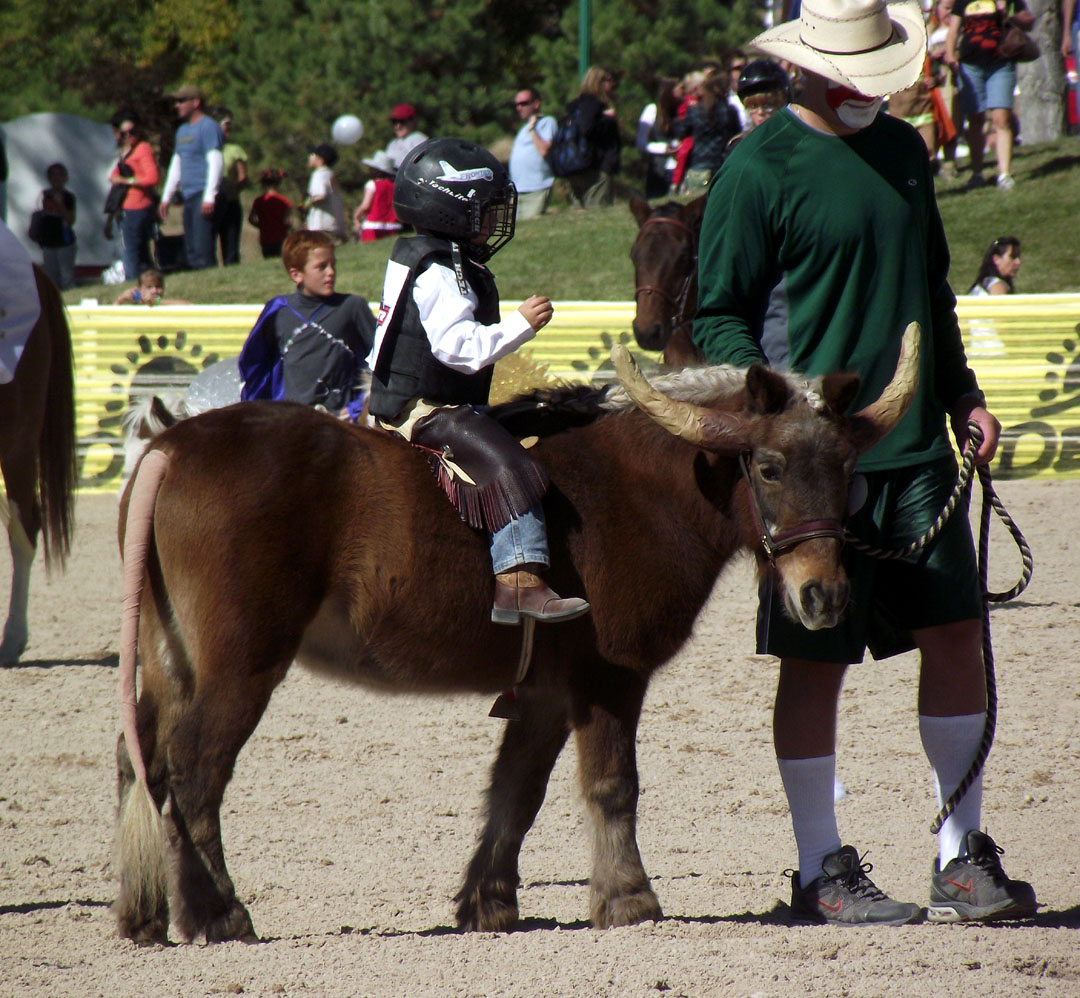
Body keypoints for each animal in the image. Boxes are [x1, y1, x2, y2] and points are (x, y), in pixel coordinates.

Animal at [113, 324, 921, 944]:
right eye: (771, 467)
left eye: (847, 468)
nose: (825, 595)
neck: (631, 488)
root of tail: (170, 448)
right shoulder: (608, 679)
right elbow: (612, 785)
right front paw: (627, 898)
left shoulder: (543, 697)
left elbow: (516, 793)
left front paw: (489, 902)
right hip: (242, 666)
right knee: (193, 771)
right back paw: (217, 912)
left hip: (170, 661)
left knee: (137, 758)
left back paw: (144, 912)